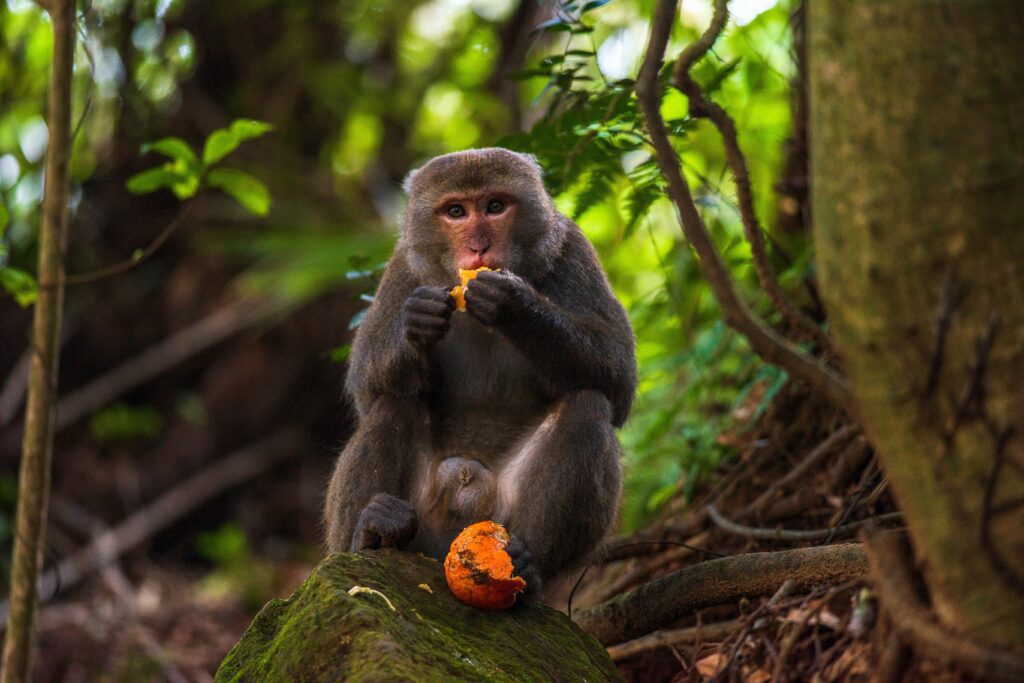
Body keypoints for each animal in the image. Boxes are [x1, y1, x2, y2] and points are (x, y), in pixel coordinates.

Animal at [323, 147, 634, 602]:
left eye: (495, 206)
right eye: (456, 212)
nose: (478, 246)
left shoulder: (572, 249)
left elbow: (618, 375)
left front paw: (515, 303)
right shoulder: (403, 267)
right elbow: (366, 385)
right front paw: (414, 323)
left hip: (503, 516)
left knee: (588, 407)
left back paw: (528, 568)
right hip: (424, 522)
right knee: (394, 401)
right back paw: (370, 535)